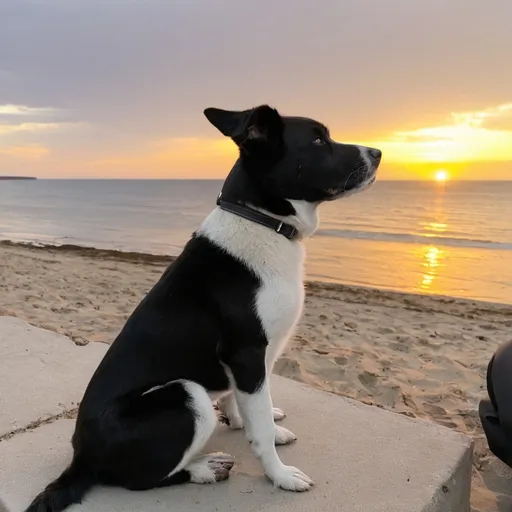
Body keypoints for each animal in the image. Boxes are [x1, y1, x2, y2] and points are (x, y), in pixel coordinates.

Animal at [26, 103, 382, 508]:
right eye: (319, 140)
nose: (378, 153)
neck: (262, 221)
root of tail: (82, 458)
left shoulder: (248, 364)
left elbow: (249, 407)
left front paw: (253, 424)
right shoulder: (246, 353)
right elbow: (259, 425)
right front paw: (278, 474)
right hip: (186, 395)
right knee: (140, 480)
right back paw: (203, 469)